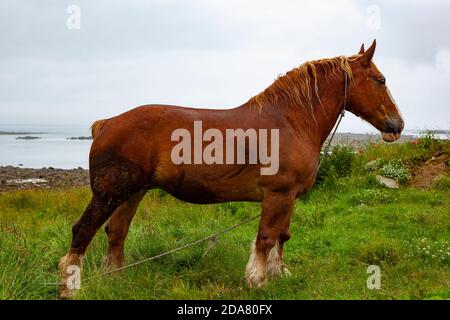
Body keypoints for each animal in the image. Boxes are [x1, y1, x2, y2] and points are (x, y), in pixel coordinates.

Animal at [59, 40, 404, 298]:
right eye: (381, 80)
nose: (397, 125)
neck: (290, 121)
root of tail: (107, 123)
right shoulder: (277, 195)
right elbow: (265, 238)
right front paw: (257, 279)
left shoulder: (289, 197)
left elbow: (283, 235)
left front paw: (280, 272)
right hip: (109, 193)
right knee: (83, 231)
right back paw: (70, 285)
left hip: (132, 192)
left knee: (116, 232)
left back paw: (114, 278)